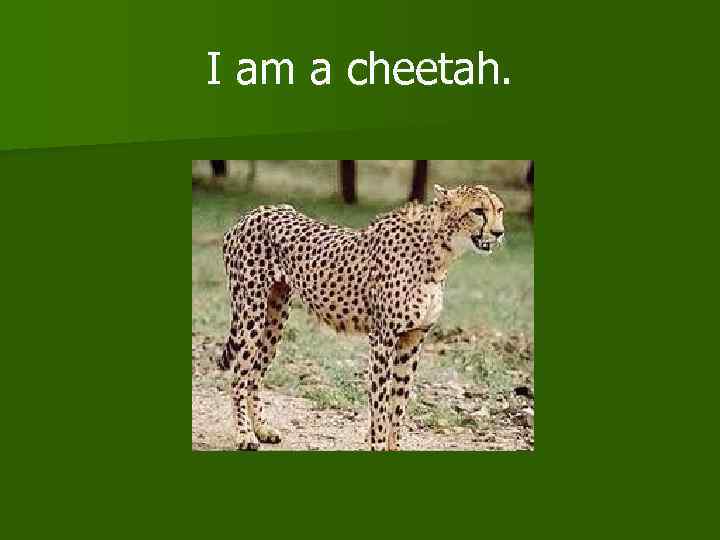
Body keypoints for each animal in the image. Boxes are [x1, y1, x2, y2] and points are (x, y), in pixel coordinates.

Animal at [218, 184, 505, 450]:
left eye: (499, 210)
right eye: (478, 211)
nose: (499, 233)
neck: (438, 254)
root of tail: (255, 212)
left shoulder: (413, 339)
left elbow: (398, 404)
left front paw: (394, 448)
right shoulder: (383, 338)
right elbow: (380, 404)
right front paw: (378, 446)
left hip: (274, 317)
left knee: (255, 374)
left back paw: (262, 430)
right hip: (251, 314)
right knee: (239, 376)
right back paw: (245, 436)